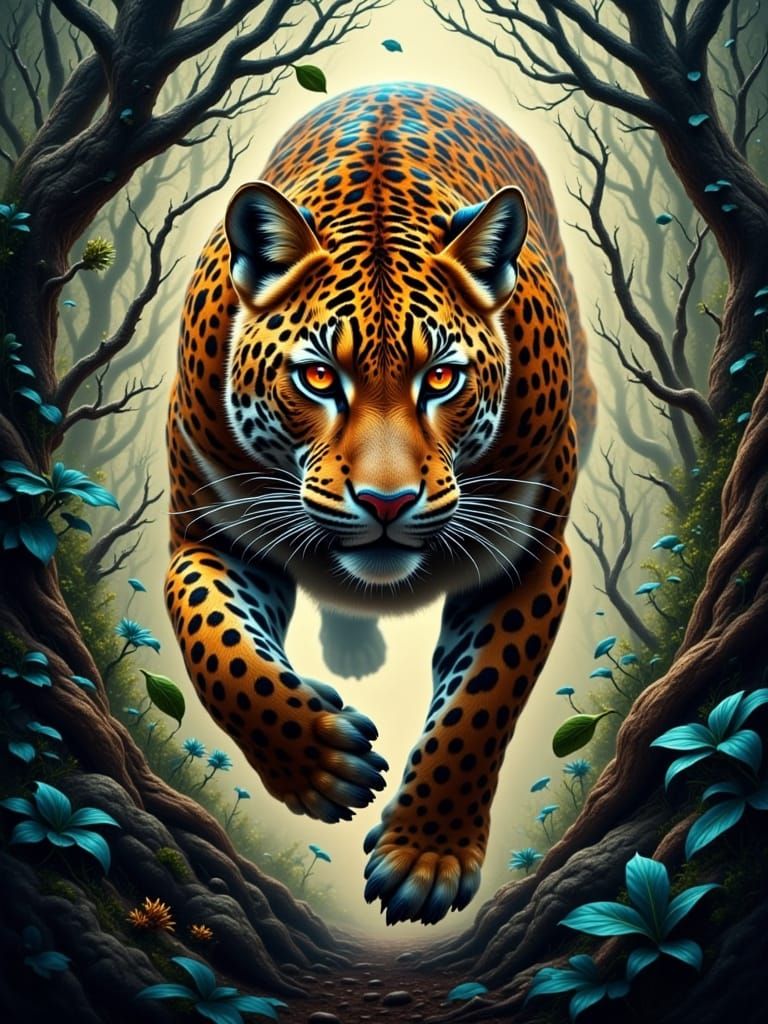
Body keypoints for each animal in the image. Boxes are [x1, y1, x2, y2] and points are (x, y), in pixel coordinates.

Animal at [165, 82, 596, 926]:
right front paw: (318, 761)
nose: (387, 502)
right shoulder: (208, 537)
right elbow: (217, 648)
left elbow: (482, 701)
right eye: (318, 378)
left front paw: (427, 855)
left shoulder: (529, 558)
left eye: (442, 379)